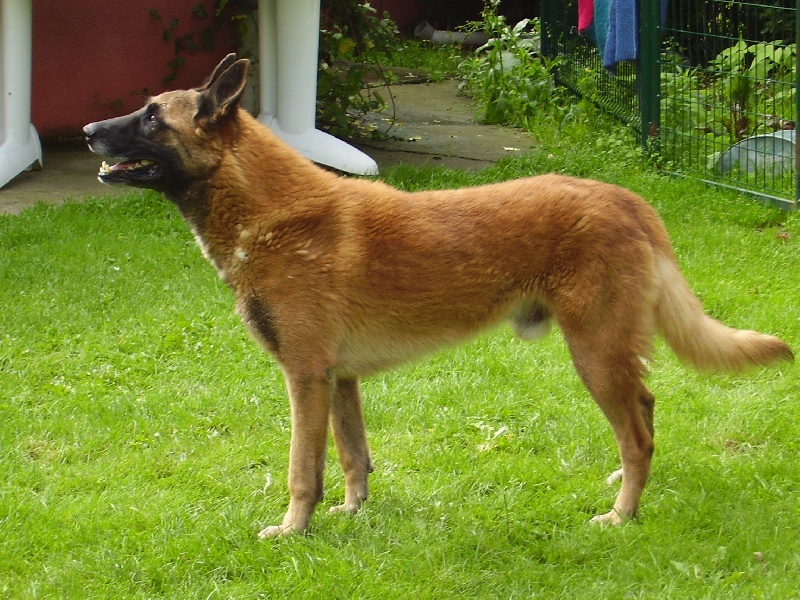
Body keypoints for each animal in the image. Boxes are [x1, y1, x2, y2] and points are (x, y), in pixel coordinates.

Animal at [84, 54, 792, 538]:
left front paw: (293, 530)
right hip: (608, 351)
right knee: (643, 411)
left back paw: (621, 514)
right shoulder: (339, 380)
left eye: (152, 116)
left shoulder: (305, 378)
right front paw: (352, 516)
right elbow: (353, 457)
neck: (268, 212)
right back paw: (625, 484)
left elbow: (301, 470)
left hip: (593, 352)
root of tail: (626, 198)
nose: (90, 128)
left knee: (638, 432)